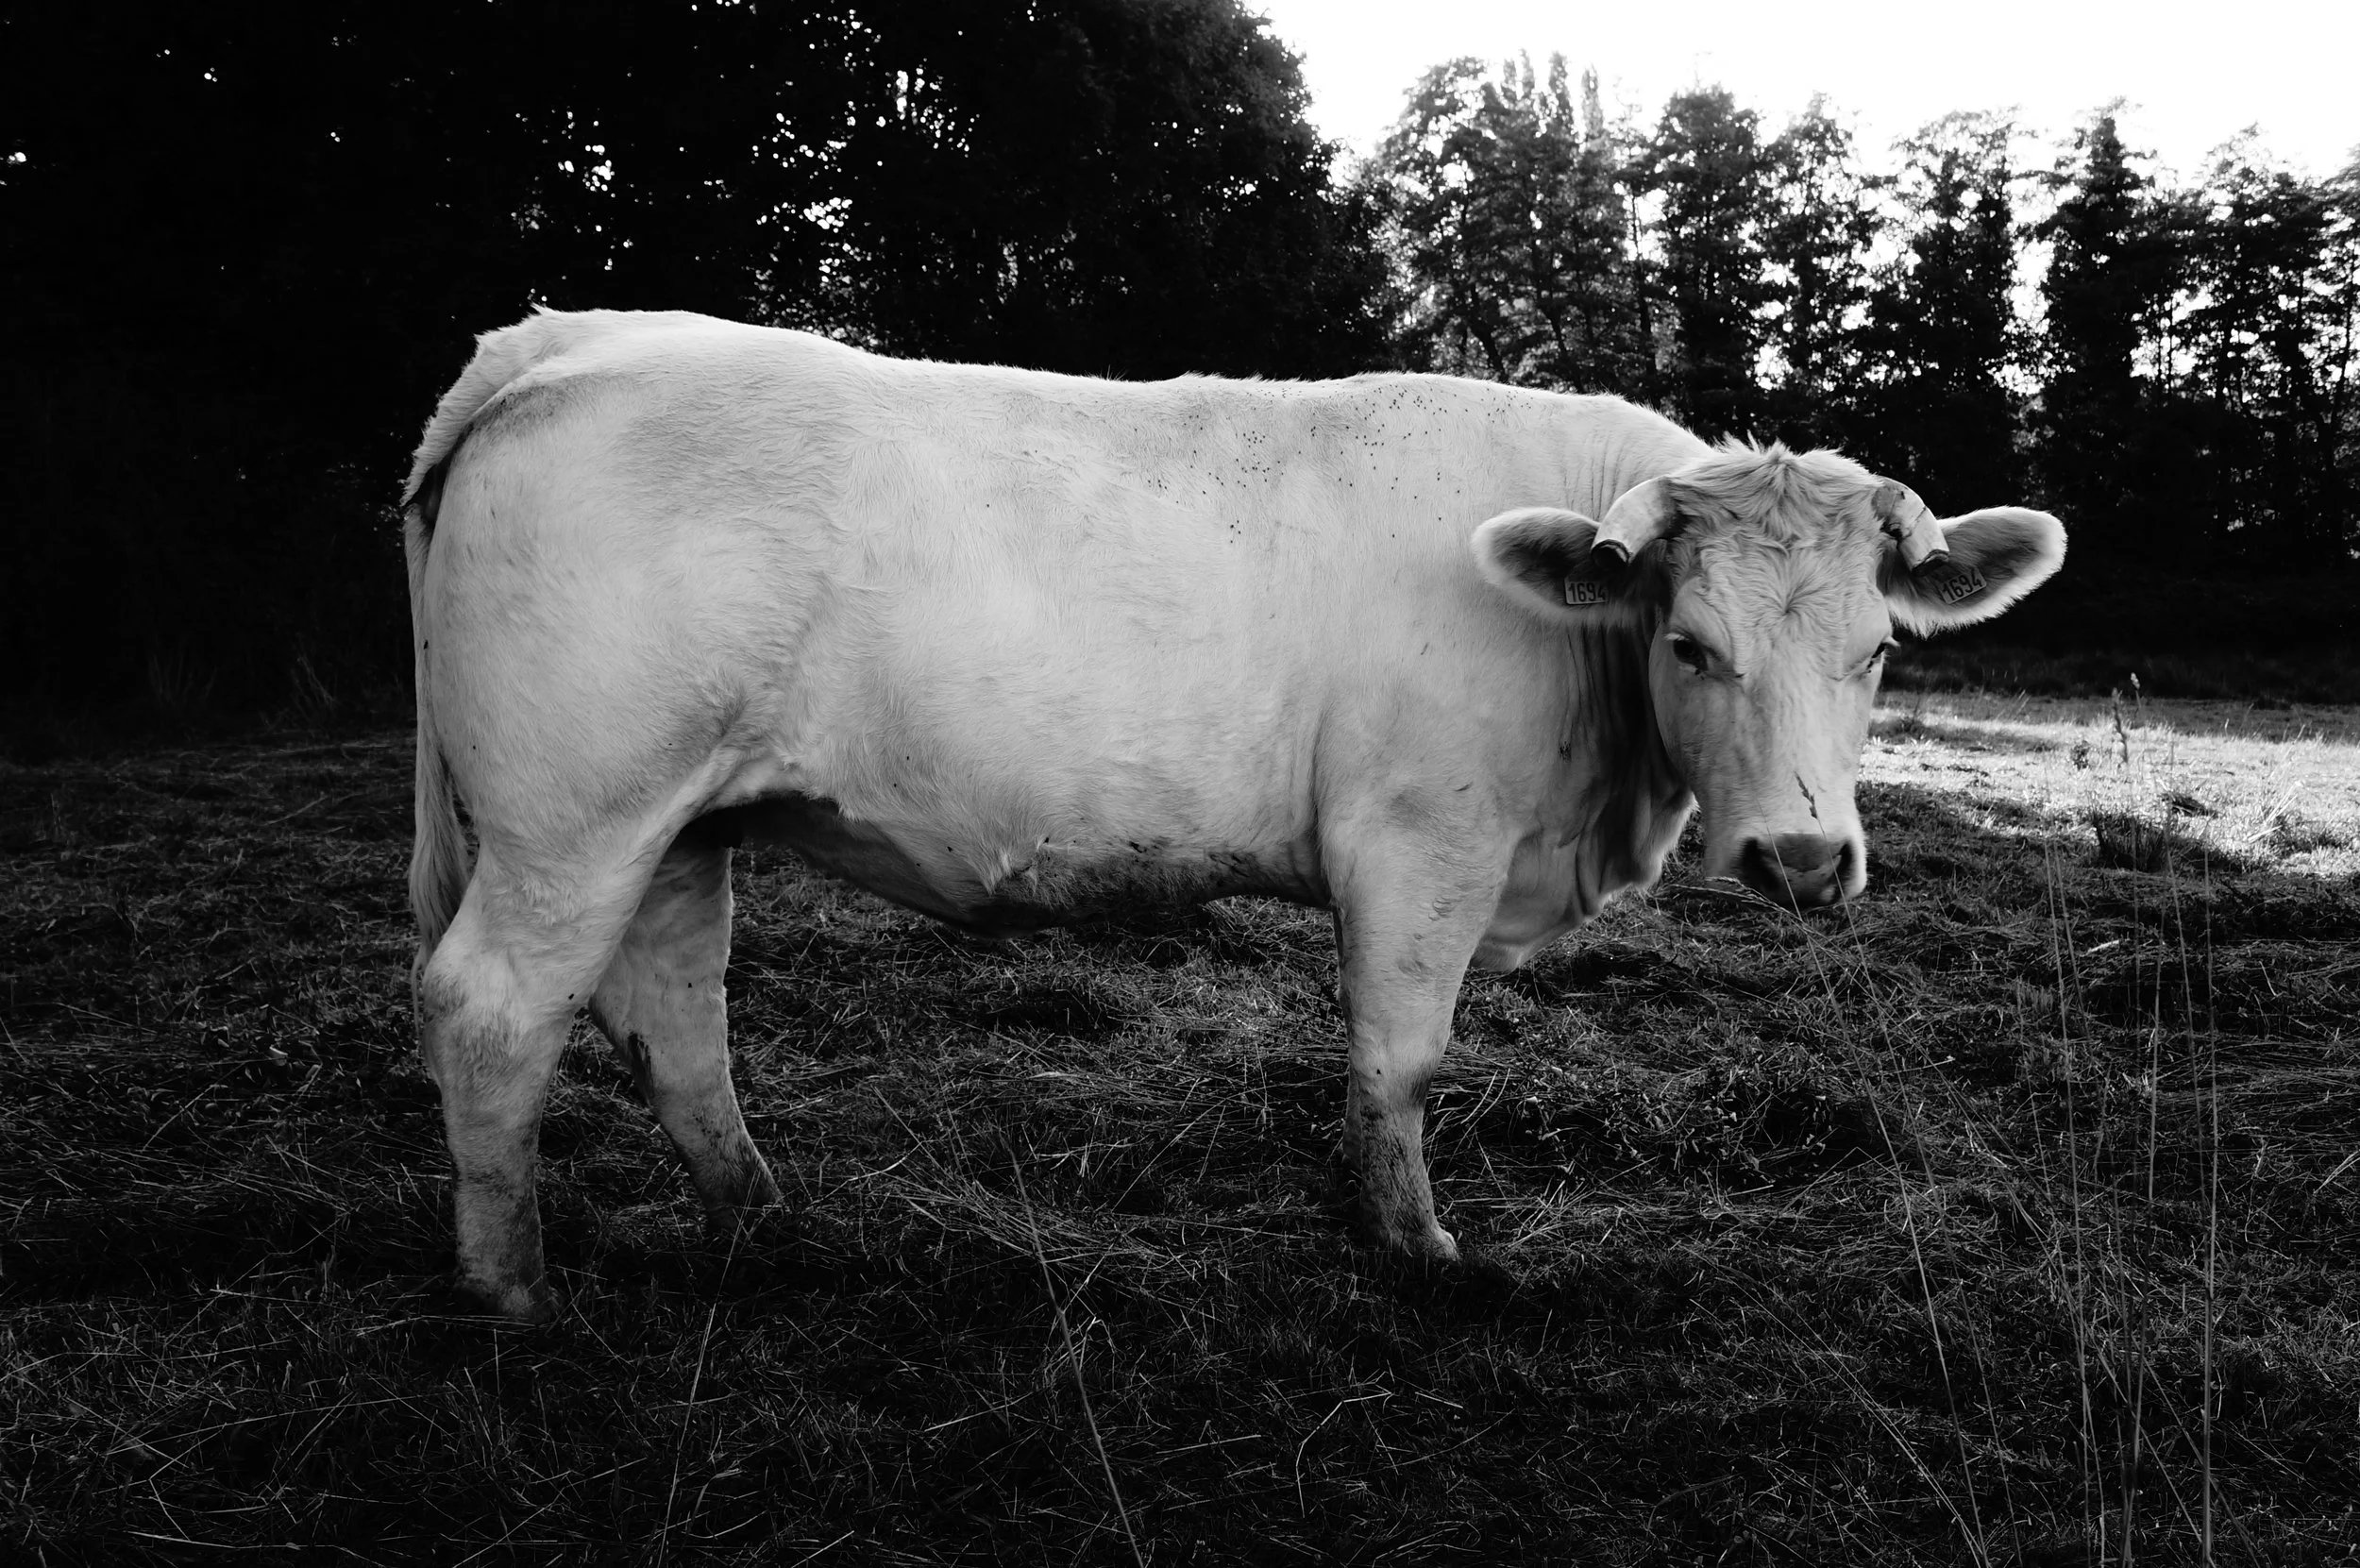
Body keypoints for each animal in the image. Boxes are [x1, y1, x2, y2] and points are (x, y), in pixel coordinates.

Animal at [402, 309, 2064, 1321]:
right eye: (1692, 643)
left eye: (1878, 650)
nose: (1804, 856)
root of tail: (573, 341)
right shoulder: (1418, 840)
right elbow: (1400, 1064)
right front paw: (1419, 1252)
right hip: (575, 820)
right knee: (492, 1011)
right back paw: (512, 1289)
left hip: (676, 821)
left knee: (674, 1010)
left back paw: (760, 1216)